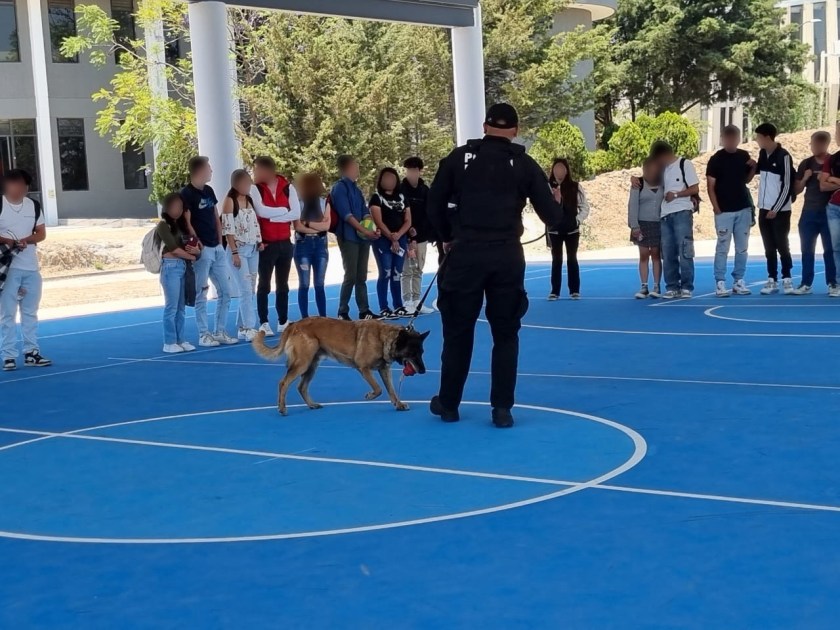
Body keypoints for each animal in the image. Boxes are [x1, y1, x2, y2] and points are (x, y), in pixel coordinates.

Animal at [252, 317, 429, 416]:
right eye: (412, 353)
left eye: (421, 352)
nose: (423, 371)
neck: (384, 338)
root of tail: (293, 325)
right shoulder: (363, 368)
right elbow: (378, 389)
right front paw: (370, 395)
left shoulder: (384, 370)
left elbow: (391, 391)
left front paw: (398, 404)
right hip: (303, 363)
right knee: (283, 383)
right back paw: (282, 408)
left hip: (312, 366)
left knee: (301, 387)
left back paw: (311, 404)